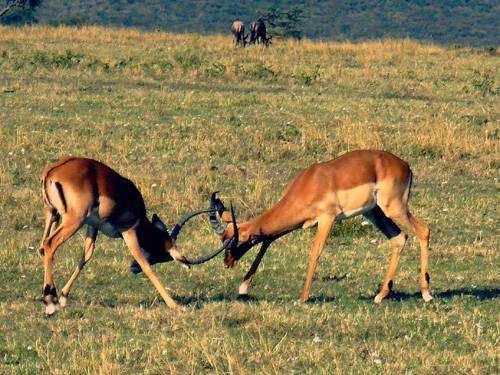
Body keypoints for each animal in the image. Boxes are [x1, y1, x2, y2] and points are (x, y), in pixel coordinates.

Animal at [37, 157, 219, 316]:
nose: (132, 268)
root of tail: (52, 172)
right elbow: (145, 265)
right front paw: (174, 305)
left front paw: (64, 297)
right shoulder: (129, 231)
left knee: (42, 247)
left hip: (53, 215)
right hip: (73, 221)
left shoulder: (93, 225)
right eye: (161, 255)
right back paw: (50, 302)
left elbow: (86, 255)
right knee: (49, 244)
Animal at [205, 150, 432, 302]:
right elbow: (267, 240)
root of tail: (405, 165)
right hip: (375, 212)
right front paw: (243, 287)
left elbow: (315, 251)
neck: (310, 183)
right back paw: (381, 294)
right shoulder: (296, 223)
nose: (227, 262)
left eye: (232, 243)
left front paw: (303, 297)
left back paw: (426, 293)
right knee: (399, 238)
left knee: (424, 231)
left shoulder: (327, 218)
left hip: (394, 208)